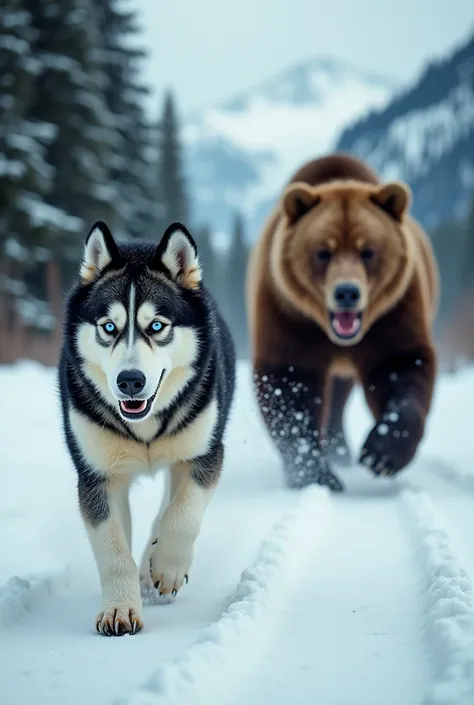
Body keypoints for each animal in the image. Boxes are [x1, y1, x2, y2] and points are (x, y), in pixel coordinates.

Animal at [58, 219, 236, 632]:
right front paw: (120, 608)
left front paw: (167, 566)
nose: (130, 381)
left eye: (156, 326)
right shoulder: (98, 476)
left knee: (170, 503)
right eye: (109, 327)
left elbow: (184, 513)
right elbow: (112, 548)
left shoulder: (204, 453)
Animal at [246, 150, 438, 490]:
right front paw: (315, 473)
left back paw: (341, 450)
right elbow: (290, 382)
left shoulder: (394, 311)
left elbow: (401, 366)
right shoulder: (289, 314)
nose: (347, 292)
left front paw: (382, 453)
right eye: (323, 252)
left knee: (340, 393)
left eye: (368, 251)